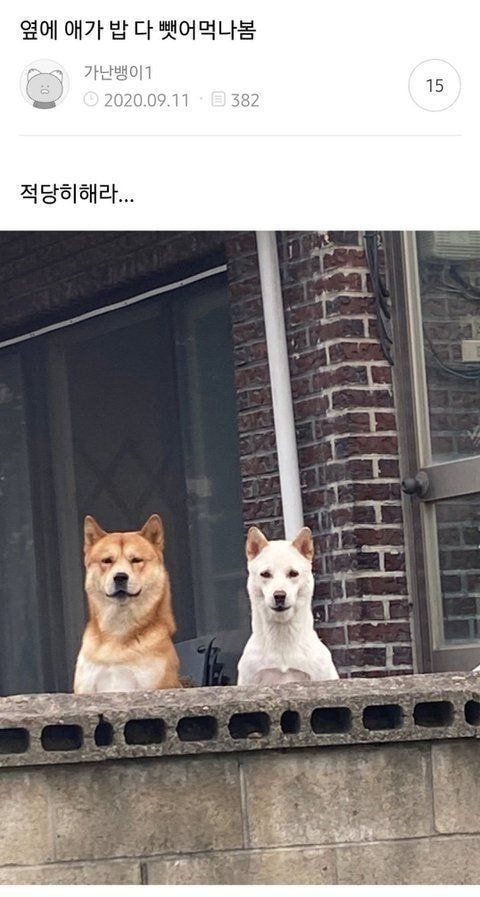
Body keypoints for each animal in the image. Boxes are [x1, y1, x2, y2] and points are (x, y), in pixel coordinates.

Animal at [73, 514, 182, 693]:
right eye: (107, 561)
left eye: (136, 560)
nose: (120, 577)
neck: (117, 633)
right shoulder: (86, 688)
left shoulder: (152, 684)